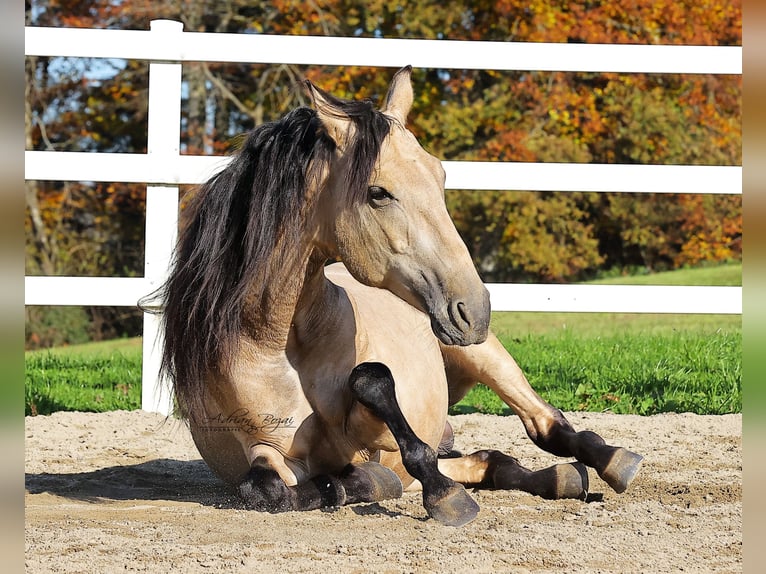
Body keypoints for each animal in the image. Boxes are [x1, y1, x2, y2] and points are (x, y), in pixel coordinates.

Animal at [144, 65, 640, 528]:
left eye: (440, 176)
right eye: (378, 192)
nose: (473, 309)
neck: (282, 341)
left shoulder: (373, 435)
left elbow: (374, 384)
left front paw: (432, 493)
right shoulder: (265, 448)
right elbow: (267, 489)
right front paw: (363, 485)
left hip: (489, 359)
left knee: (544, 424)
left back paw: (612, 461)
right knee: (492, 462)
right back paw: (560, 478)